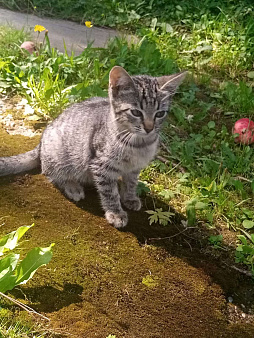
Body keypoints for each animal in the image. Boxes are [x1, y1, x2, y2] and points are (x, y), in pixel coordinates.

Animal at [0, 66, 187, 228]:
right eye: (136, 112)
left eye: (160, 114)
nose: (149, 128)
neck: (139, 144)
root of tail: (40, 143)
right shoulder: (101, 165)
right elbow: (109, 192)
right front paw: (116, 213)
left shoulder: (135, 168)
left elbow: (131, 182)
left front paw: (130, 197)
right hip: (58, 156)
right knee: (51, 173)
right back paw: (73, 186)